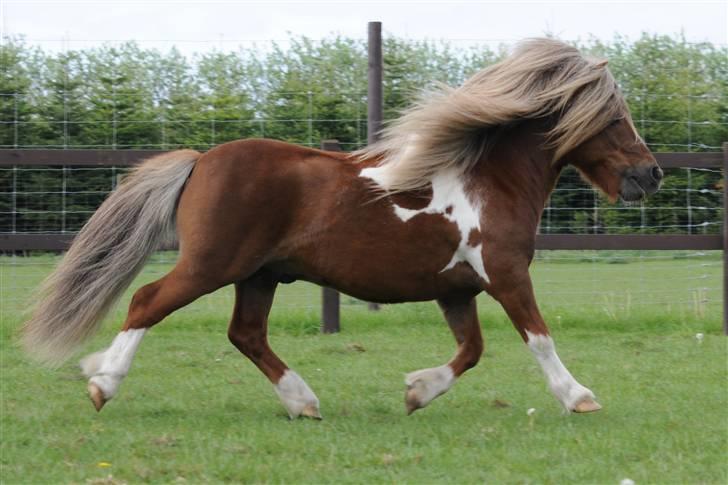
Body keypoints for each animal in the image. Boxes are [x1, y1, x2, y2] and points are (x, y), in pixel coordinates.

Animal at [22, 38, 664, 416]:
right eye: (614, 118)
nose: (651, 174)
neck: (489, 181)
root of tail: (201, 160)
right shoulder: (505, 274)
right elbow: (538, 337)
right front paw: (579, 397)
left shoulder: (457, 290)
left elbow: (472, 349)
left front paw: (417, 391)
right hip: (212, 264)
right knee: (146, 302)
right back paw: (102, 382)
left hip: (260, 275)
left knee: (245, 334)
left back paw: (302, 401)